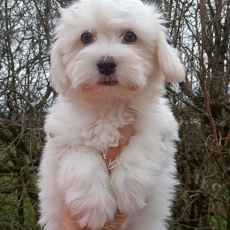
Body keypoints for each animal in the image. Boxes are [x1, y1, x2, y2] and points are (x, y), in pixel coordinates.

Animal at [38, 0, 185, 229]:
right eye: (86, 37)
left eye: (130, 36)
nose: (106, 63)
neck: (110, 103)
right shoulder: (63, 135)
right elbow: (82, 156)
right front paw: (94, 206)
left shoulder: (160, 125)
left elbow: (144, 143)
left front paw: (130, 188)